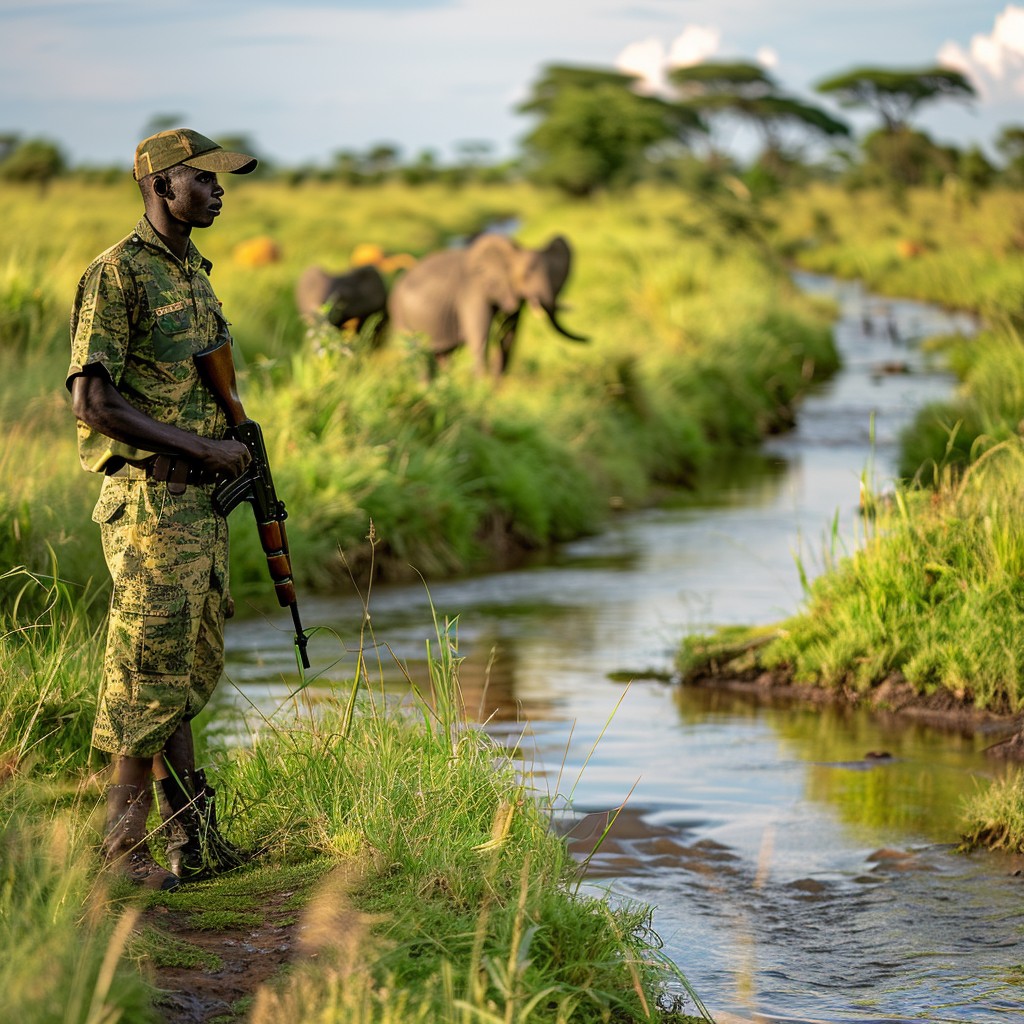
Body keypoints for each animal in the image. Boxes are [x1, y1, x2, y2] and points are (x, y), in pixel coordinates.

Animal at [387, 233, 587, 377]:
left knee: (442, 355)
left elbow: (508, 335)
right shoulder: (472, 291)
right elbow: (479, 336)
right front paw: (481, 387)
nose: (587, 339)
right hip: (399, 314)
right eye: (526, 275)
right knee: (416, 356)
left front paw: (496, 390)